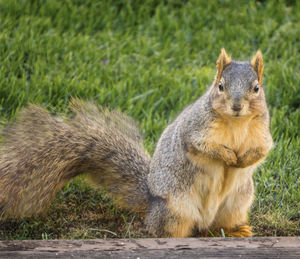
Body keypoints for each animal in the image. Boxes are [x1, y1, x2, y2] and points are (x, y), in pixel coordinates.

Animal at [0, 48, 272, 238]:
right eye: (221, 86)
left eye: (256, 88)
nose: (236, 106)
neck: (236, 123)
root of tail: (151, 202)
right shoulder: (195, 129)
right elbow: (202, 147)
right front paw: (228, 156)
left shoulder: (263, 133)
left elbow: (262, 150)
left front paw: (243, 159)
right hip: (176, 210)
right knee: (170, 229)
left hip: (236, 204)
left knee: (213, 228)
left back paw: (236, 230)